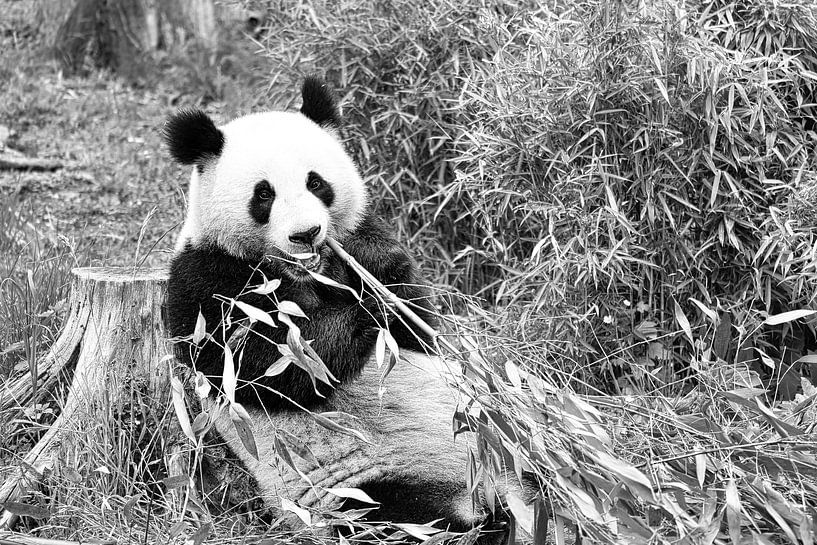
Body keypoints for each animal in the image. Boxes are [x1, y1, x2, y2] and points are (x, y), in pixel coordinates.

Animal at [162, 78, 500, 533]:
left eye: (316, 183)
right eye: (263, 194)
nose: (306, 234)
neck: (307, 275)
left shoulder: (365, 235)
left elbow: (418, 329)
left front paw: (375, 276)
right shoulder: (207, 279)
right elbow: (273, 362)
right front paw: (364, 311)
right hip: (360, 488)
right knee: (403, 516)